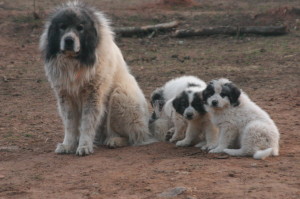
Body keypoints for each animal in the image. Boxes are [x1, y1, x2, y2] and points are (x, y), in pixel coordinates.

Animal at [39, 1, 154, 155]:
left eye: (80, 28)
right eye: (62, 27)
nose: (69, 40)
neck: (74, 62)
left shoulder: (93, 94)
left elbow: (87, 123)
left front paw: (84, 146)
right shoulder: (65, 96)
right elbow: (70, 124)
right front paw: (68, 145)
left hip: (119, 96)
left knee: (134, 135)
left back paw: (115, 140)